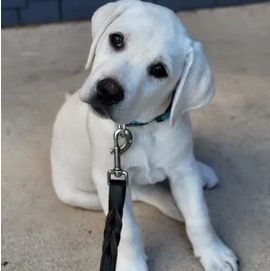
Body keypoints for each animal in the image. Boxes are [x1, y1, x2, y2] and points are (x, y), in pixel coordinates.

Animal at [50, 1, 238, 270]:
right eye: (117, 39)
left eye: (159, 70)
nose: (108, 90)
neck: (141, 127)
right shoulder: (110, 177)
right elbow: (127, 229)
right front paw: (132, 264)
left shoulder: (183, 173)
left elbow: (199, 215)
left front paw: (213, 252)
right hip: (78, 194)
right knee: (141, 193)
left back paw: (199, 172)